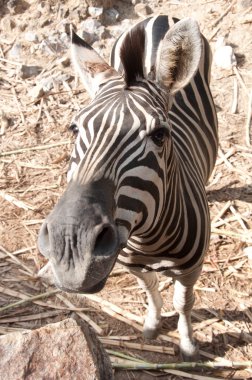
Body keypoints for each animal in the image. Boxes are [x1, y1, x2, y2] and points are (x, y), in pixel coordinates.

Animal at [38, 14, 218, 360]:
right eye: (74, 128)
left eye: (160, 134)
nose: (71, 247)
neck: (150, 239)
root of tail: (159, 18)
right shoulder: (132, 264)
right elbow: (150, 290)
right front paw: (152, 324)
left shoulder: (192, 269)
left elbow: (184, 303)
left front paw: (188, 344)